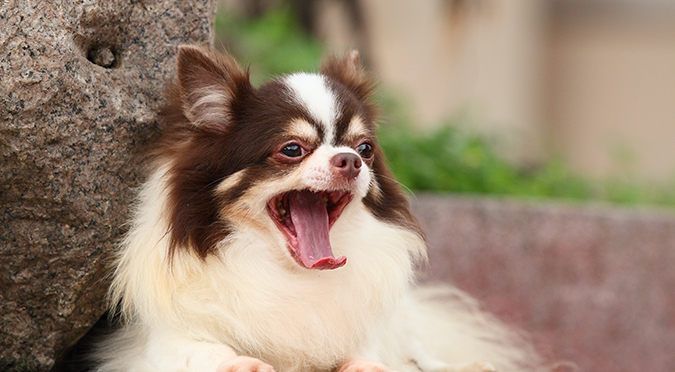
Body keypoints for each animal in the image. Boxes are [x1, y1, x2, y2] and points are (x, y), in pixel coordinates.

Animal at [92, 44, 540, 372]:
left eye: (365, 148)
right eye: (292, 150)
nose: (351, 160)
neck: (293, 277)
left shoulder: (369, 340)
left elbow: (374, 360)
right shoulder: (161, 343)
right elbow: (207, 352)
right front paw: (246, 364)